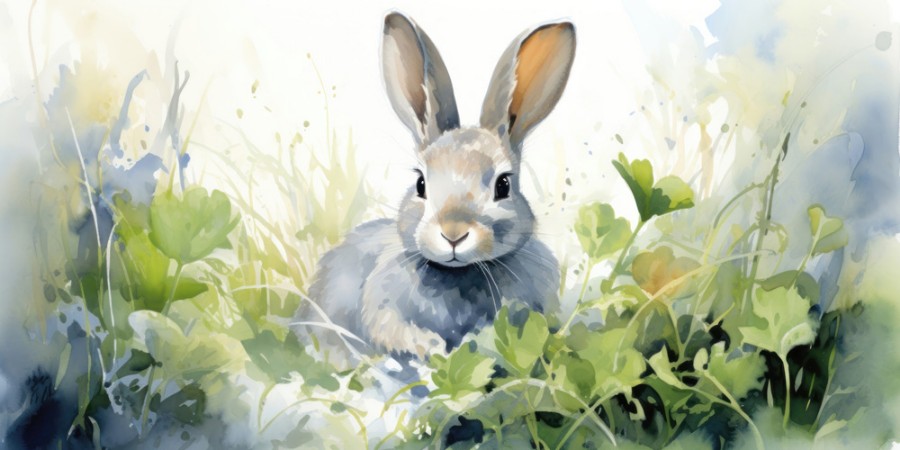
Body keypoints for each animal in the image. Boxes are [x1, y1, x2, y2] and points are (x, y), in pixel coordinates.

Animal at [295, 12, 576, 360]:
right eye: (420, 184)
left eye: (503, 185)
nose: (453, 233)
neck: (460, 273)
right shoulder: (381, 301)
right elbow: (388, 326)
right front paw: (431, 345)